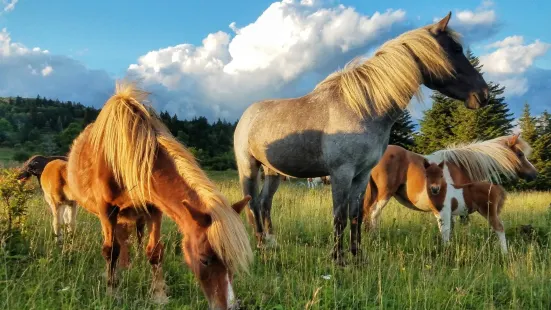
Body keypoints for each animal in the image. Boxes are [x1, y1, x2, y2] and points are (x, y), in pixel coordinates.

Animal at [67, 82, 254, 310]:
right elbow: (111, 250)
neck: (124, 157)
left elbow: (154, 251)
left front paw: (158, 295)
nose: (230, 306)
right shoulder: (106, 210)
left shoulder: (154, 209)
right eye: (204, 259)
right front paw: (113, 293)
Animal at [233, 12, 492, 264]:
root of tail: (247, 115)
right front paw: (338, 260)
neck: (363, 109)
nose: (483, 94)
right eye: (456, 49)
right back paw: (260, 246)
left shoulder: (362, 174)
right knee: (252, 203)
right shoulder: (341, 173)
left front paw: (358, 257)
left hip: (273, 172)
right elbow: (339, 215)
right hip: (249, 167)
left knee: (265, 203)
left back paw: (271, 243)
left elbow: (356, 215)